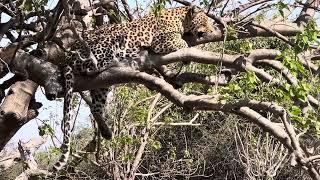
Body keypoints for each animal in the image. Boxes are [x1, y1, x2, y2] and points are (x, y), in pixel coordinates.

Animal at [53, 4, 218, 172]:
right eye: (205, 20)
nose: (213, 30)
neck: (181, 19)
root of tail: (68, 55)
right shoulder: (161, 40)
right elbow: (181, 42)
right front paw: (185, 53)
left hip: (102, 84)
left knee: (95, 107)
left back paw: (106, 132)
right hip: (106, 44)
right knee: (91, 65)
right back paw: (117, 60)